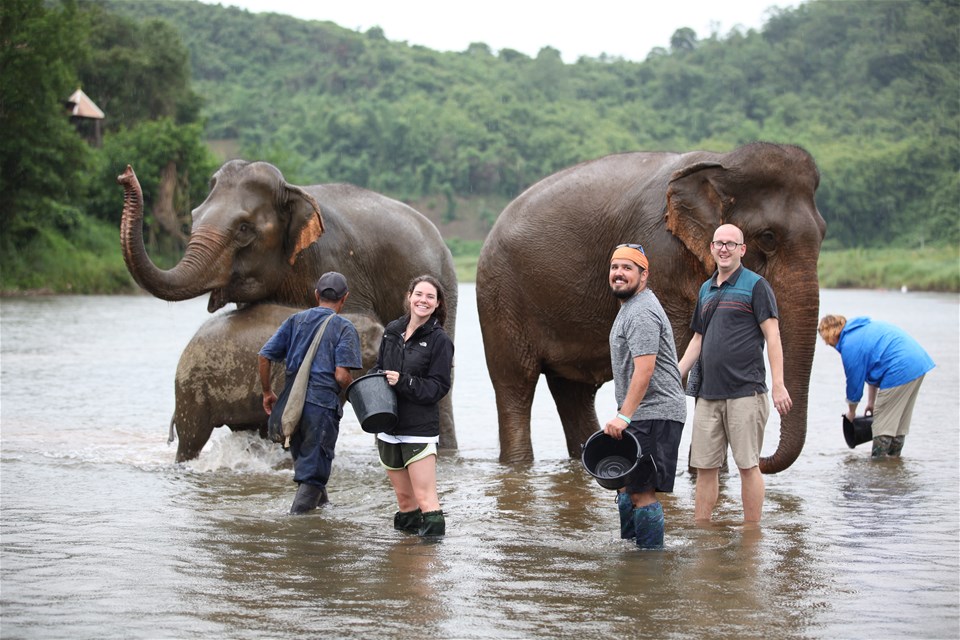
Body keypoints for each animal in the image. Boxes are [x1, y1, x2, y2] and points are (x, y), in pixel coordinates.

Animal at [478, 142, 824, 472]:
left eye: (823, 235)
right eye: (768, 237)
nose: (762, 460)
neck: (722, 162)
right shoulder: (660, 253)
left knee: (573, 391)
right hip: (500, 295)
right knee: (516, 383)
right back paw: (519, 463)